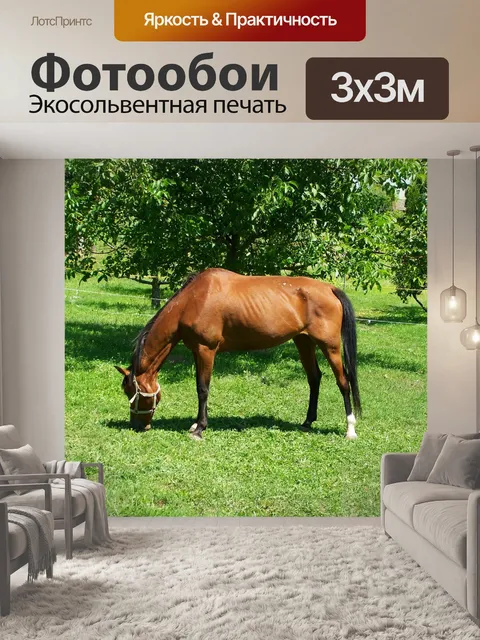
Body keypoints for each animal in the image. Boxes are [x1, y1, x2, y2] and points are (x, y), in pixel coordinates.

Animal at [115, 268, 361, 440]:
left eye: (131, 392)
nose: (137, 426)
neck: (193, 300)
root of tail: (330, 289)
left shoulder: (206, 350)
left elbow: (203, 389)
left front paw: (200, 429)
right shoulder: (196, 351)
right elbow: (199, 387)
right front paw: (196, 423)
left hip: (330, 346)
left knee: (343, 382)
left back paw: (350, 429)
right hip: (304, 341)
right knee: (314, 378)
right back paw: (308, 422)